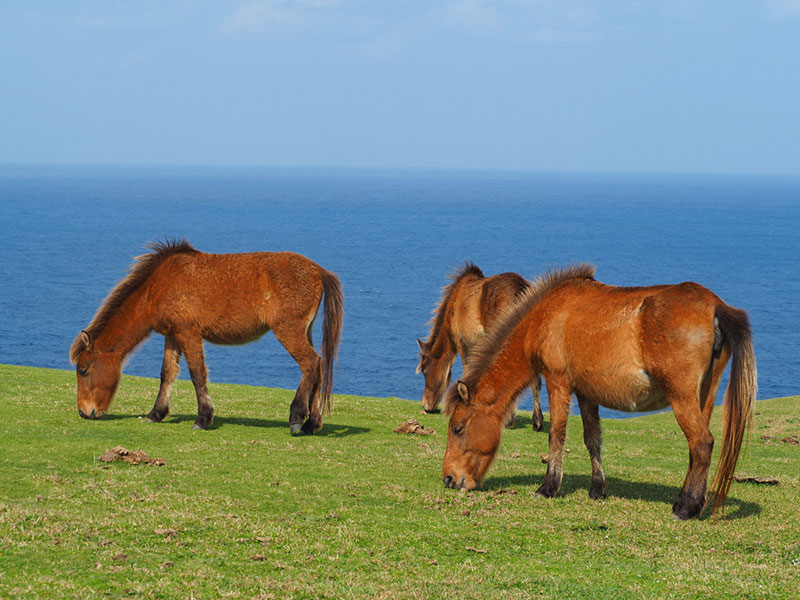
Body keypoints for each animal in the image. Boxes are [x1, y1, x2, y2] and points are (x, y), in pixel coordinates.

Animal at [70, 239, 343, 436]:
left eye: (83, 370)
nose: (83, 411)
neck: (157, 286)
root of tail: (318, 271)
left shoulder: (188, 332)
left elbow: (196, 373)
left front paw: (203, 418)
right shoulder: (172, 336)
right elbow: (167, 373)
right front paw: (156, 413)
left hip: (288, 331)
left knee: (310, 364)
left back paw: (297, 419)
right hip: (303, 331)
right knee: (319, 366)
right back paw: (311, 424)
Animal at [442, 264, 756, 519]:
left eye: (457, 428)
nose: (448, 479)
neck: (544, 316)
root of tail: (714, 306)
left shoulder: (558, 382)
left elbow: (556, 434)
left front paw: (548, 486)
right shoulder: (586, 393)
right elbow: (592, 438)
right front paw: (597, 488)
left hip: (682, 398)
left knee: (701, 443)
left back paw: (686, 508)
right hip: (705, 395)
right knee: (695, 449)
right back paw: (687, 500)